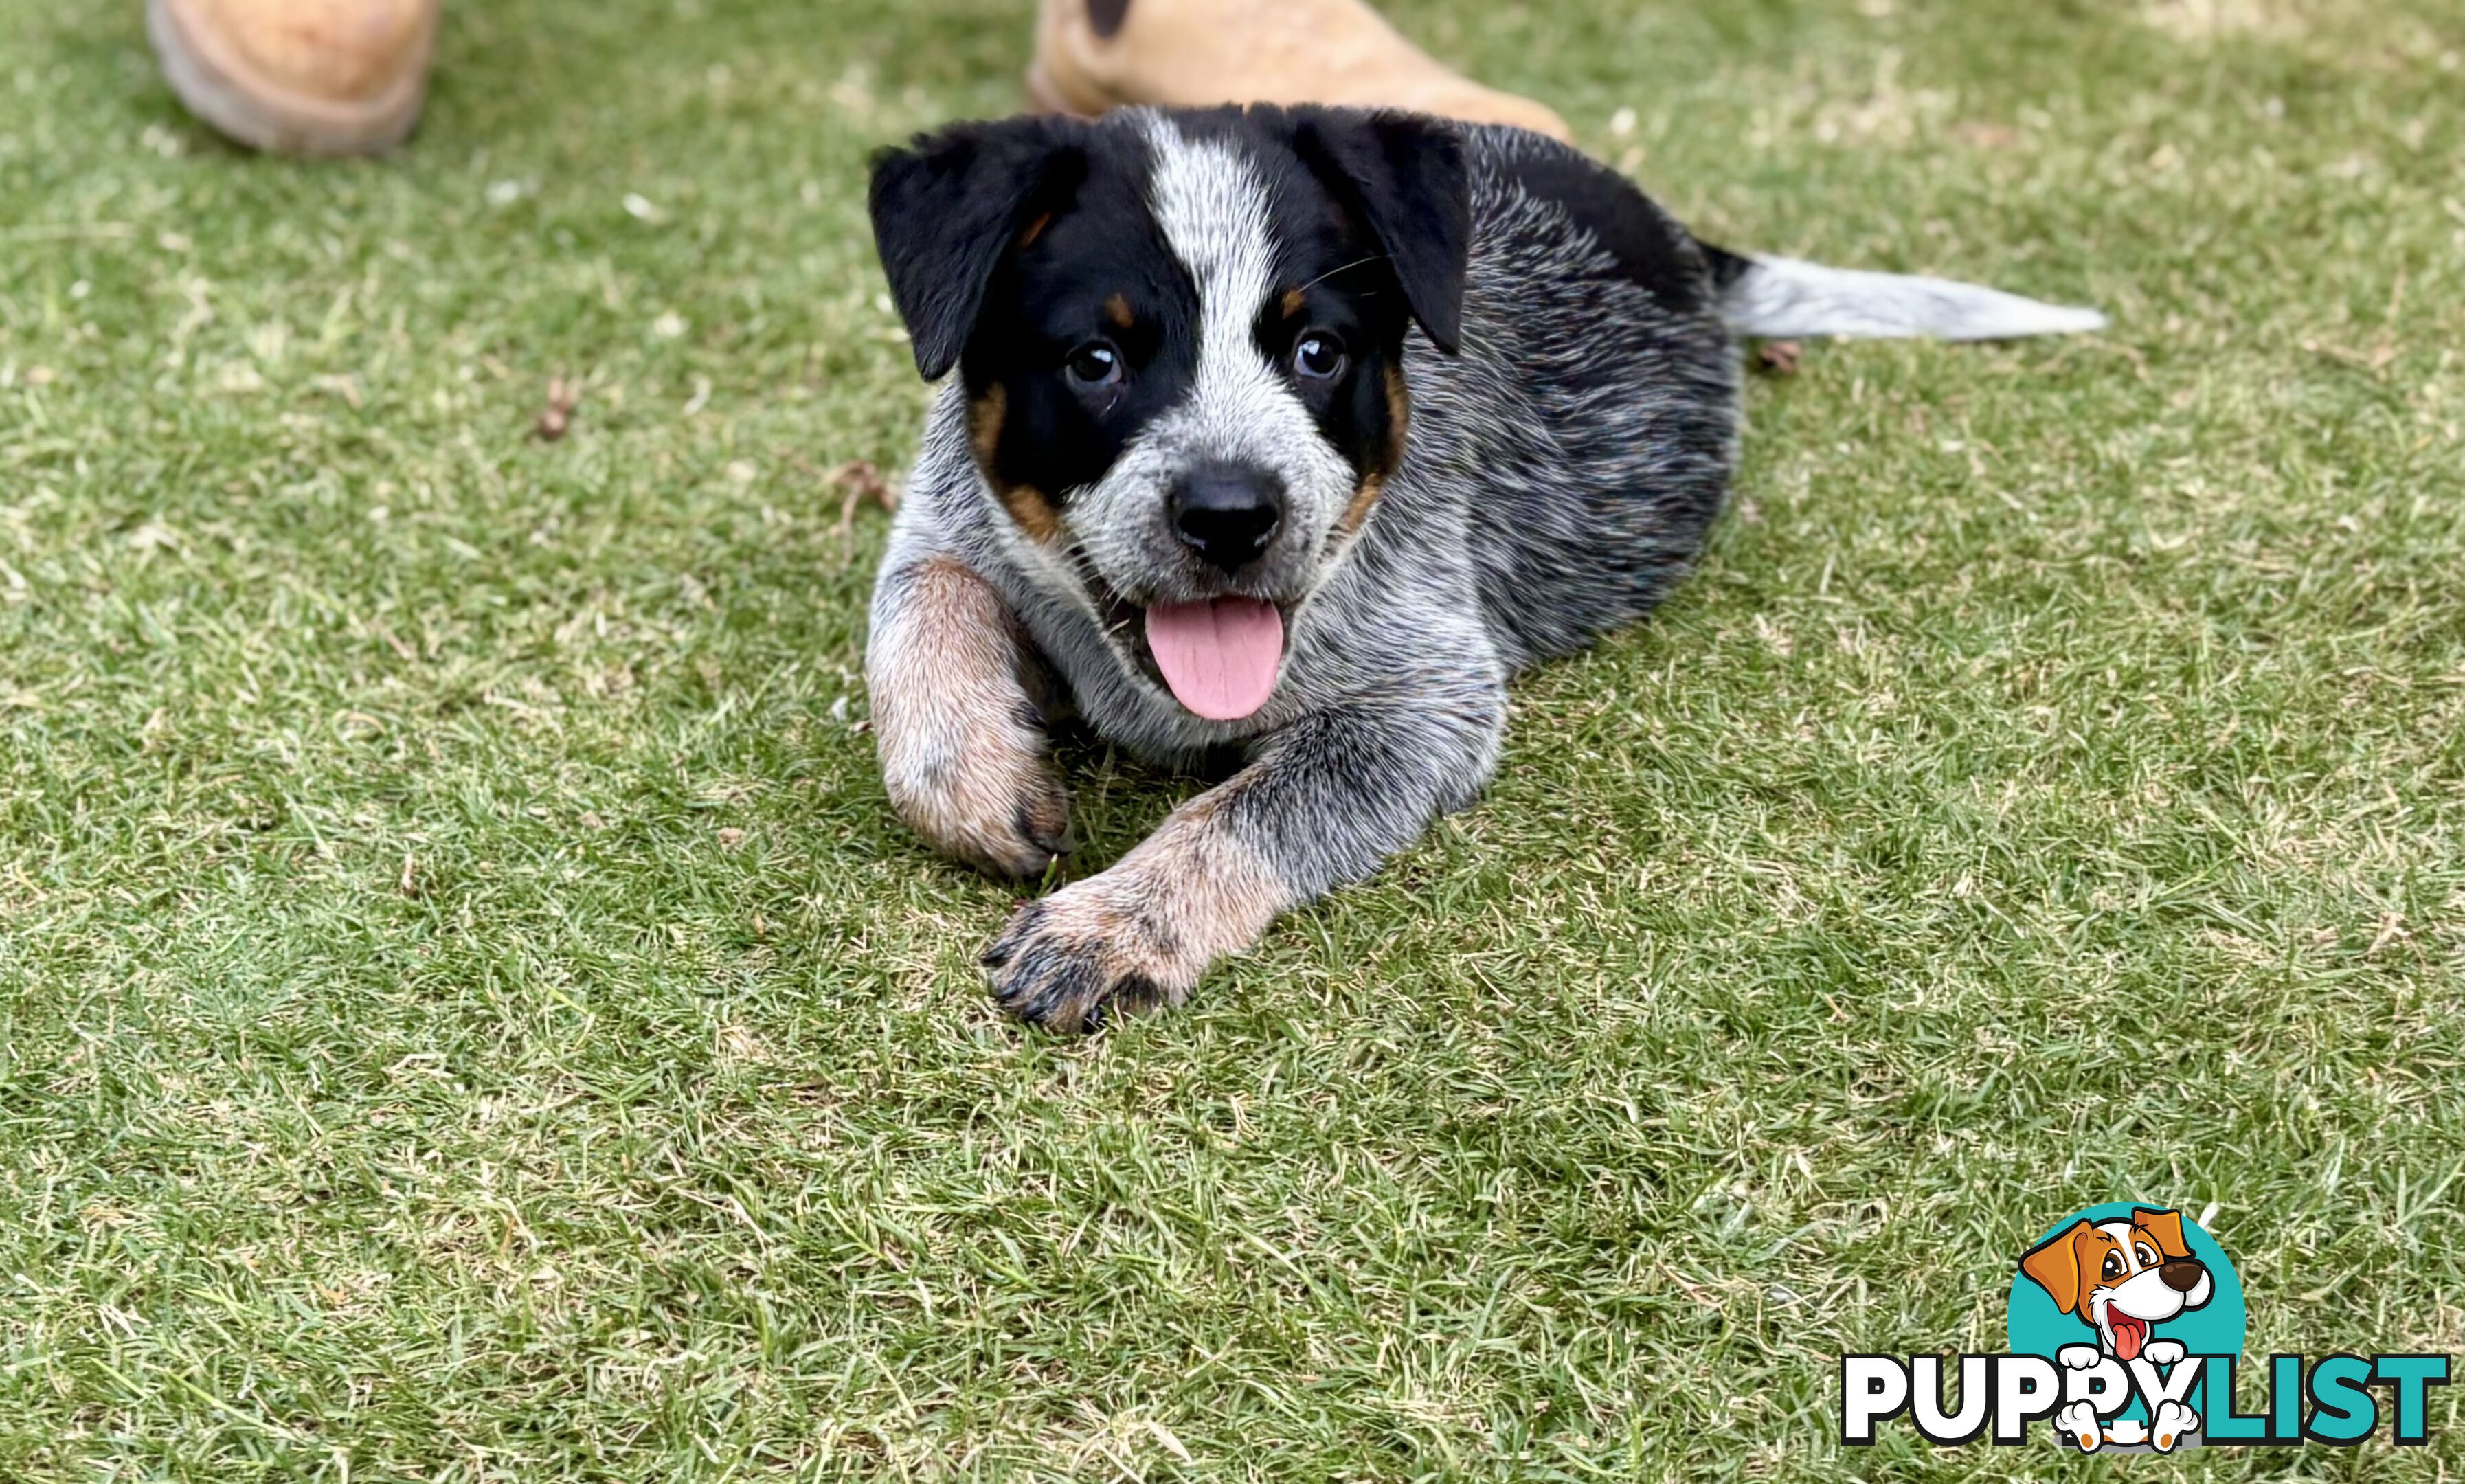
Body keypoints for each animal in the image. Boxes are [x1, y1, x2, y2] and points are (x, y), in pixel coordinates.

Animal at [862, 106, 2100, 1030]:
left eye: (1319, 352)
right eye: (1095, 362)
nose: (1231, 514)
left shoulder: (1427, 701)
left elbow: (1247, 810)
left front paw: (1118, 923)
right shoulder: (946, 518)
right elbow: (918, 609)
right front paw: (980, 778)